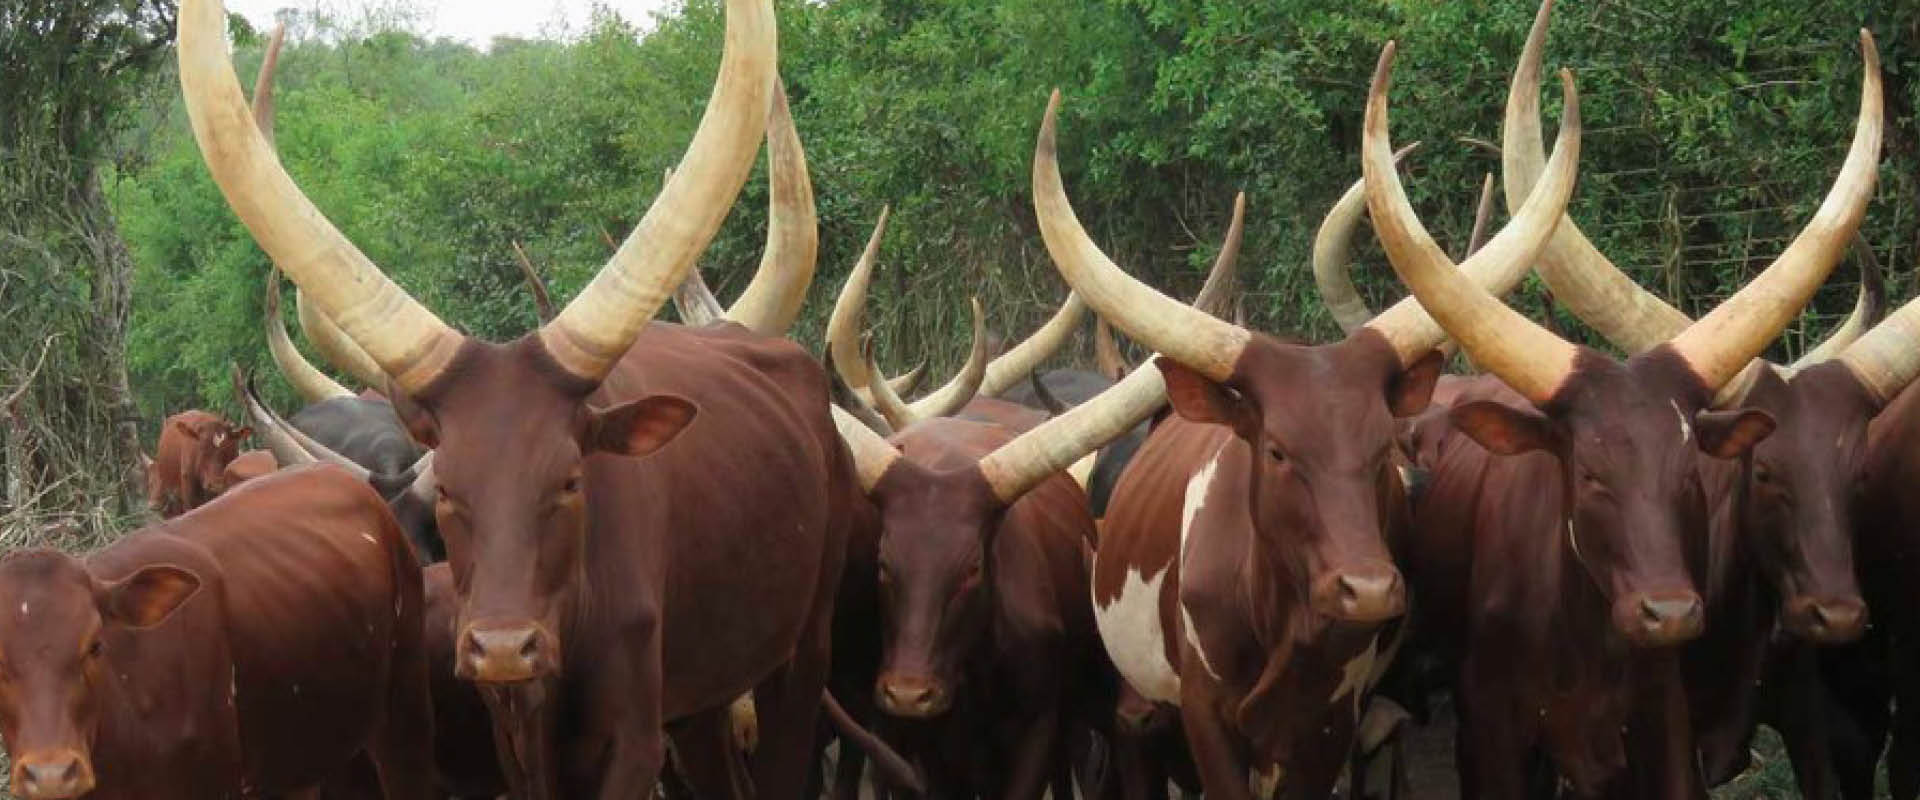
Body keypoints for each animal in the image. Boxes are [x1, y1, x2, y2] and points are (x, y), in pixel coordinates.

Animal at [181, 0, 876, 795]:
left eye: (572, 479)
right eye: (449, 491)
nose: (506, 646)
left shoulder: (634, 740)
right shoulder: (517, 737)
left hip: (801, 650)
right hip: (702, 694)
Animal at [1034, 62, 1580, 795]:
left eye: (1384, 450)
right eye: (1275, 450)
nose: (1369, 589)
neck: (1276, 615)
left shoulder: (1330, 725)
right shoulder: (1205, 716)